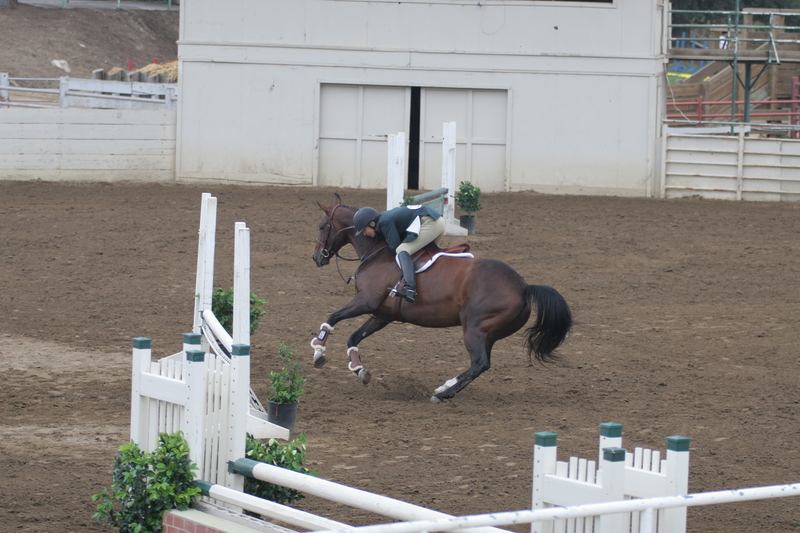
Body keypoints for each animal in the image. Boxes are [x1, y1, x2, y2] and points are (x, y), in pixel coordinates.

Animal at [310, 194, 572, 403]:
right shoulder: (381, 314)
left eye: (322, 226)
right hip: (490, 333)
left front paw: (318, 352)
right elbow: (353, 337)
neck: (377, 250)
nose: (316, 258)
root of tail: (524, 287)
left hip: (474, 327)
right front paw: (358, 369)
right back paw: (445, 386)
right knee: (480, 363)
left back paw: (442, 394)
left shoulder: (366, 301)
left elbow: (331, 318)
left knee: (480, 363)